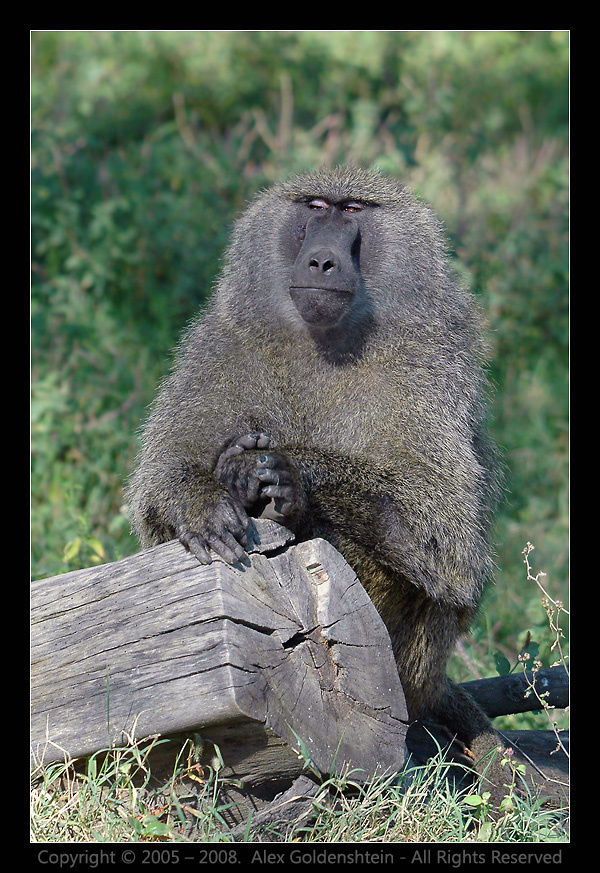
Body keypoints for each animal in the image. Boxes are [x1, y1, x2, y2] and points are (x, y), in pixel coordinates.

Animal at [127, 165, 507, 795]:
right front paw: (205, 499)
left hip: (407, 664)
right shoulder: (222, 341)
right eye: (314, 206)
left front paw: (284, 469)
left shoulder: (431, 361)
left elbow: (449, 543)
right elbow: (158, 500)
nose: (322, 260)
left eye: (352, 209)